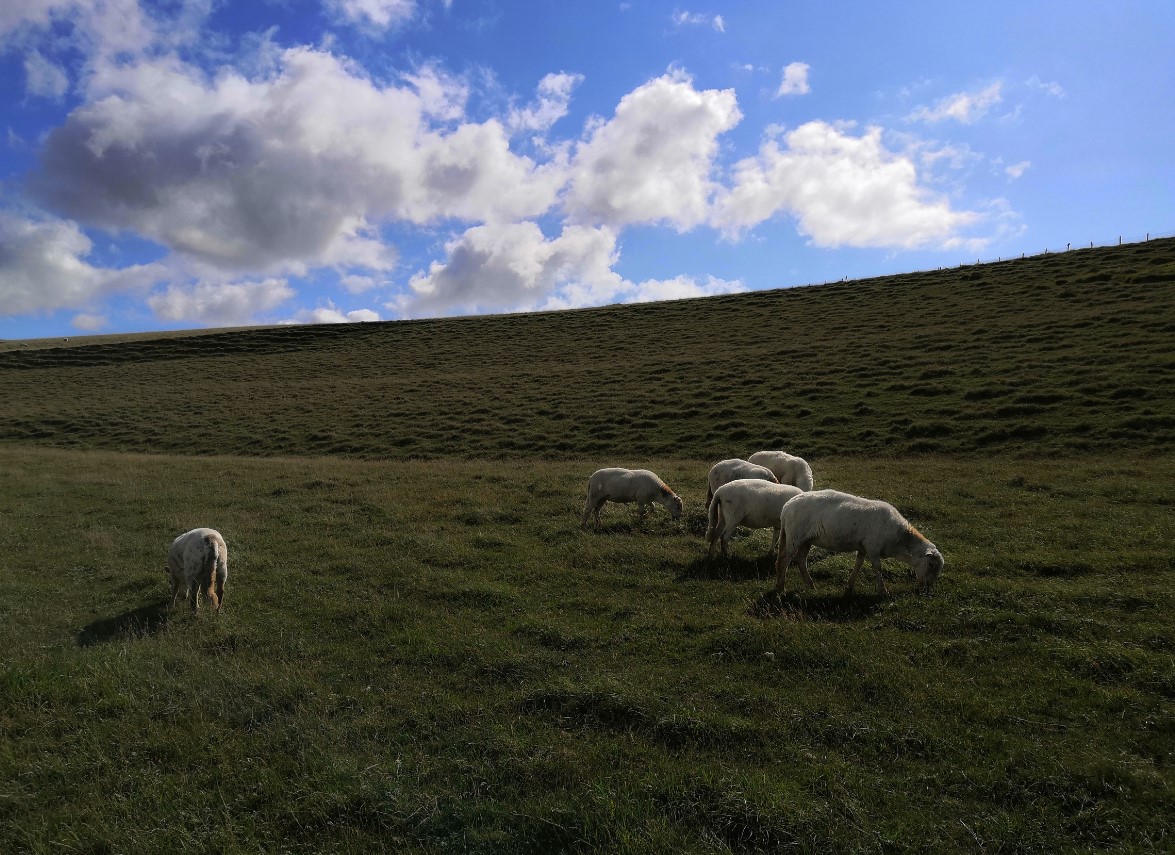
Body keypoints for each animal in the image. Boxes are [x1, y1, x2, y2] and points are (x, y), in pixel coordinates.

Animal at [770, 488, 944, 594]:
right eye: (931, 565)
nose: (928, 589)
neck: (899, 539)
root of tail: (786, 507)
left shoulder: (863, 547)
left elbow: (858, 564)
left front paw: (850, 585)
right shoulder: (873, 547)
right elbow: (877, 568)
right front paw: (883, 590)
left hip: (807, 539)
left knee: (800, 560)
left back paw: (810, 585)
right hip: (795, 536)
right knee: (784, 560)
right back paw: (781, 588)